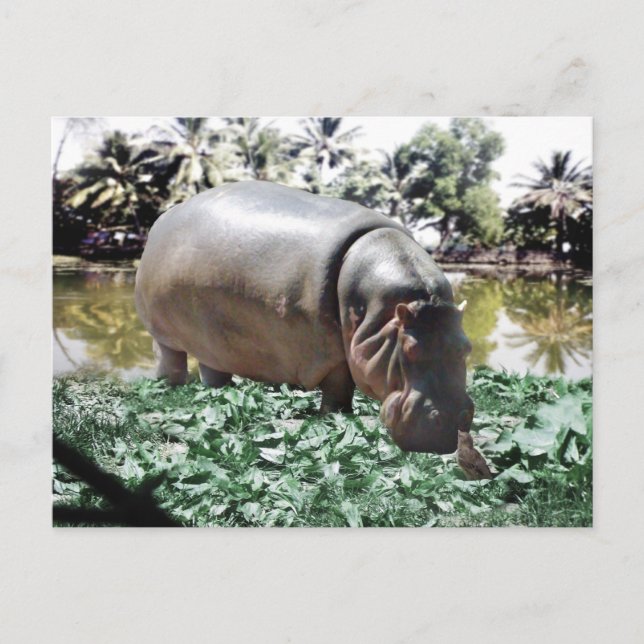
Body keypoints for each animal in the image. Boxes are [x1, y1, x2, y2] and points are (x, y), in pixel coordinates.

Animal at [135, 181, 474, 453]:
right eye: (410, 349)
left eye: (466, 348)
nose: (450, 422)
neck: (383, 315)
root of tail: (164, 218)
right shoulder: (330, 353)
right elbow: (338, 387)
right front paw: (335, 416)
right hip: (161, 333)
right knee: (170, 358)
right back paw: (170, 386)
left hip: (212, 338)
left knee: (212, 366)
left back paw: (220, 391)